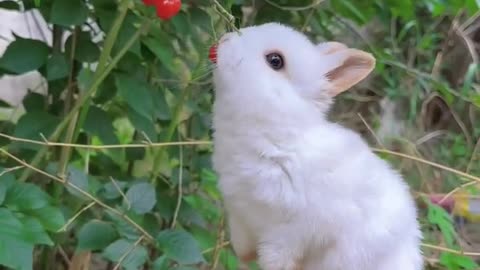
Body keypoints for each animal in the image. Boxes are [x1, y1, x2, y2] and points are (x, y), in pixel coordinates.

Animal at [212, 22, 422, 268]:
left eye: (275, 60)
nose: (224, 40)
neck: (279, 139)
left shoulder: (292, 232)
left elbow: (277, 258)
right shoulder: (240, 218)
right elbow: (243, 249)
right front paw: (244, 258)